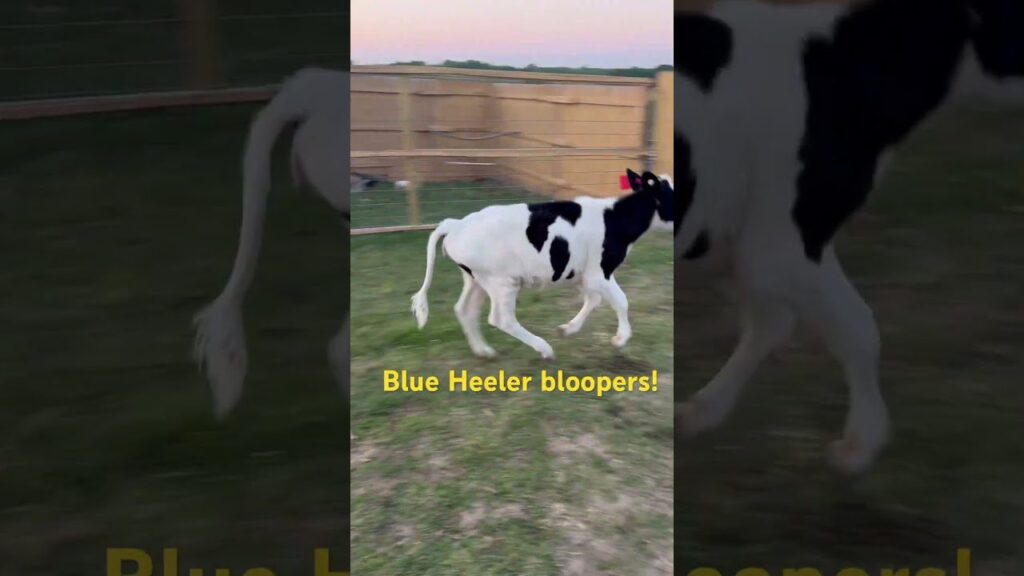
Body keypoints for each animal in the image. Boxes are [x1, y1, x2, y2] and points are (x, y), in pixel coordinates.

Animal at [407, 170, 671, 356]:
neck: (615, 218)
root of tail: (455, 223)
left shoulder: (587, 274)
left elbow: (593, 300)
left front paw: (568, 329)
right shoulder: (599, 273)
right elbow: (621, 301)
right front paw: (621, 338)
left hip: (477, 280)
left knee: (465, 310)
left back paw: (484, 351)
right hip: (501, 282)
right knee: (501, 319)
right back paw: (544, 348)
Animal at [675, 0, 1019, 471]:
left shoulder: (740, 239)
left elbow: (772, 322)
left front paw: (703, 410)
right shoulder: (785, 240)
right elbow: (858, 327)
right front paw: (862, 442)